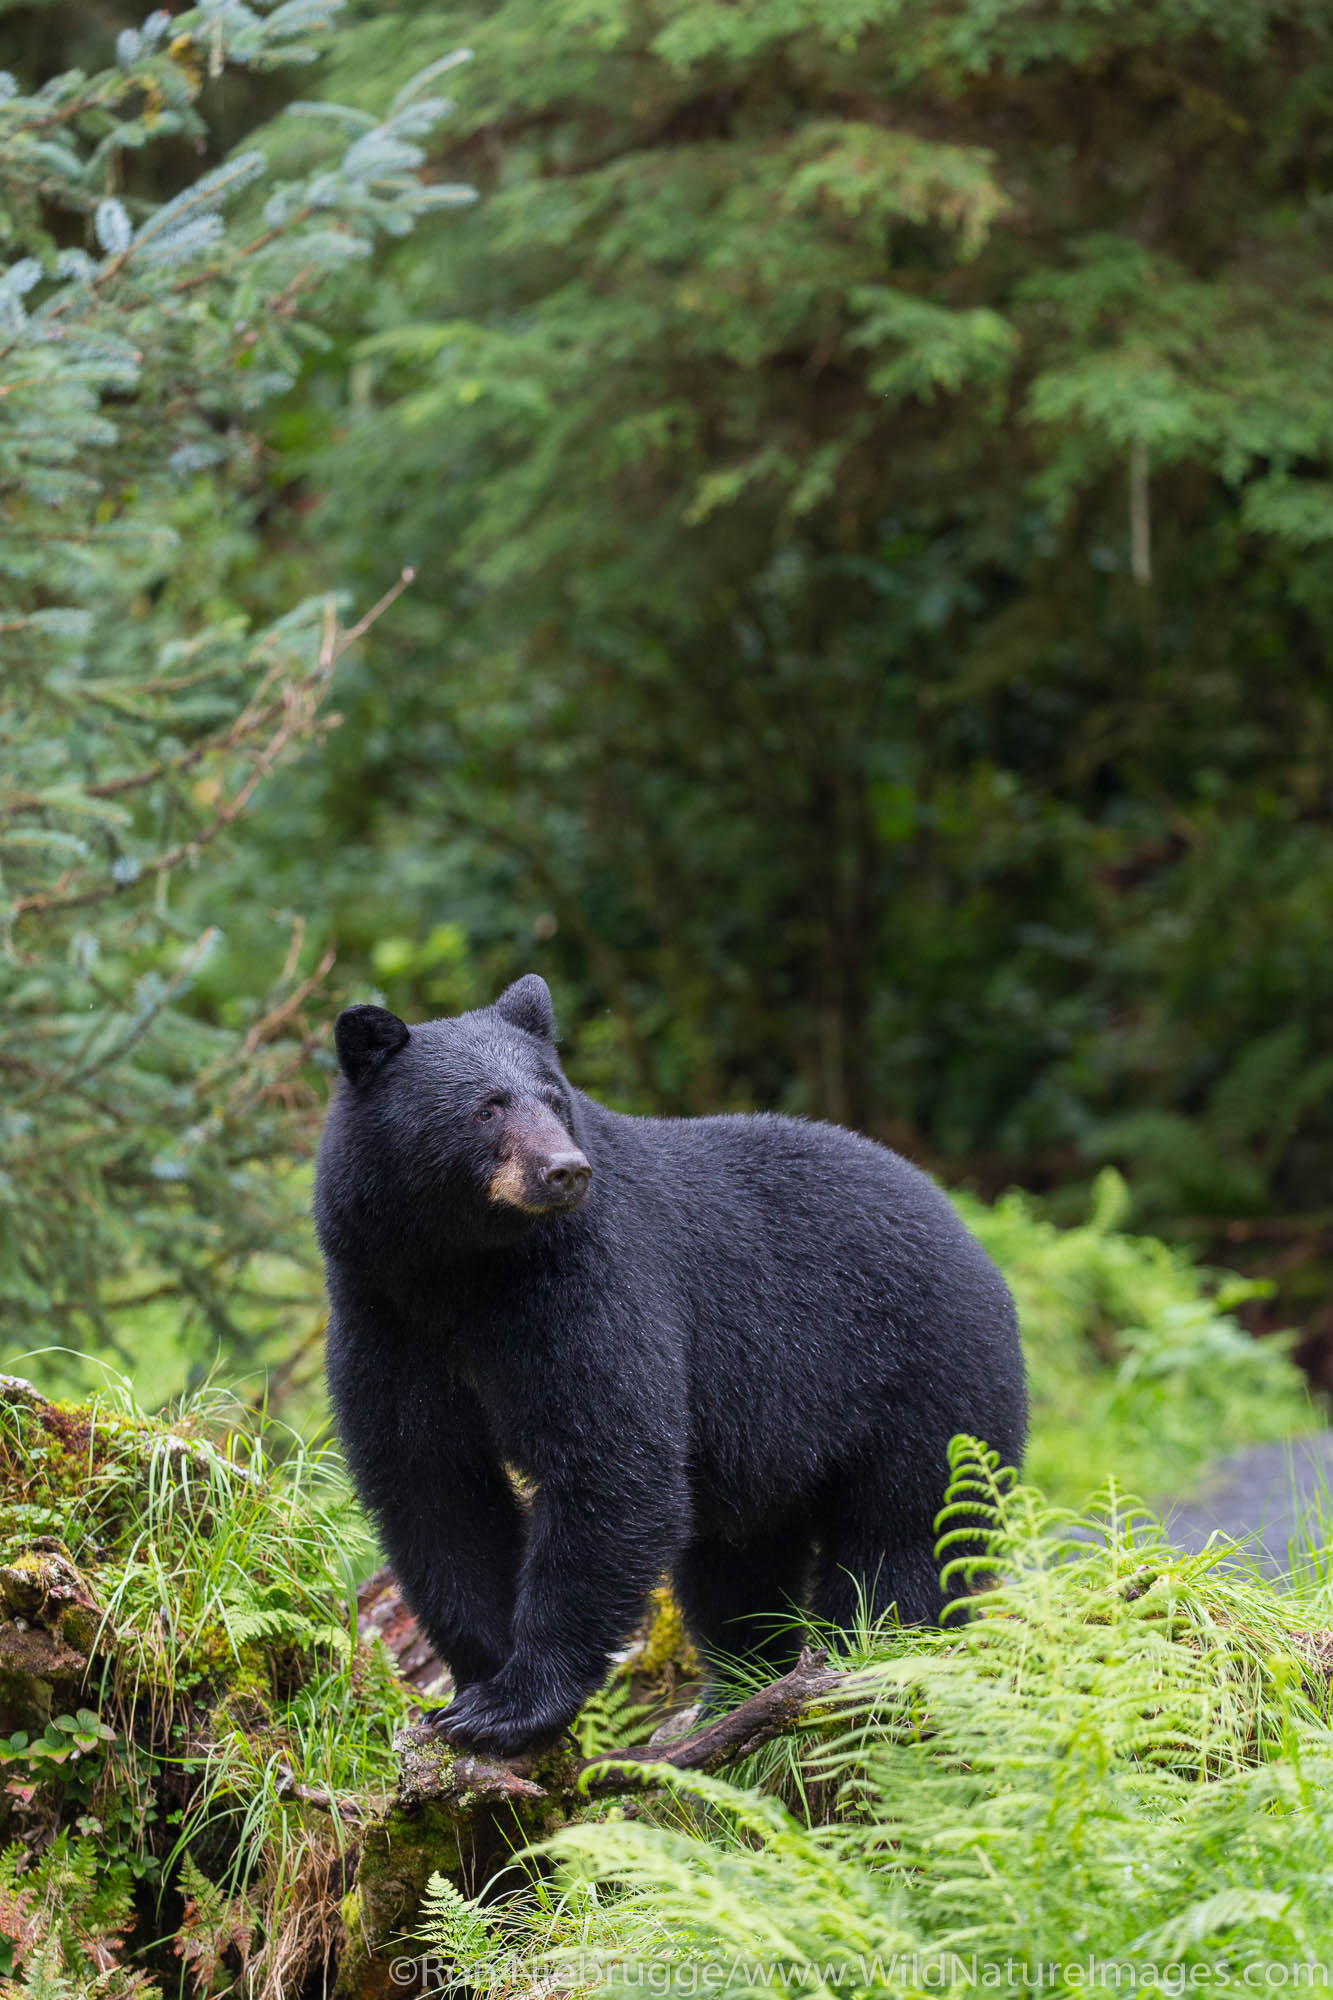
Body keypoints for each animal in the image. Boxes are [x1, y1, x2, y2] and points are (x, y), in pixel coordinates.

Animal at [316, 980, 1020, 1752]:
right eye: (487, 1107)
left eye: (554, 1098)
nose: (564, 1170)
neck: (463, 1271)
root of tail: (974, 1239)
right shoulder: (384, 1316)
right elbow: (432, 1484)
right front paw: (472, 1685)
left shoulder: (589, 1284)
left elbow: (609, 1457)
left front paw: (515, 1702)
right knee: (735, 1568)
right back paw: (737, 1690)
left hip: (925, 1379)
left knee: (905, 1538)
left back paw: (859, 1662)